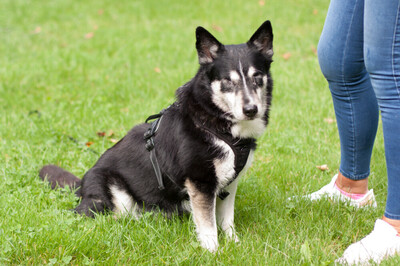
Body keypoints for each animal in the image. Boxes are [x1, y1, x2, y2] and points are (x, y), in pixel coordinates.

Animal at [39, 20, 272, 251]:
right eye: (227, 81)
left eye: (257, 77)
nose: (251, 109)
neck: (216, 121)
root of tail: (81, 186)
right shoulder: (200, 183)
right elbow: (208, 226)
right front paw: (212, 251)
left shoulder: (229, 184)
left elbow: (226, 220)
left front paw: (234, 243)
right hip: (113, 198)